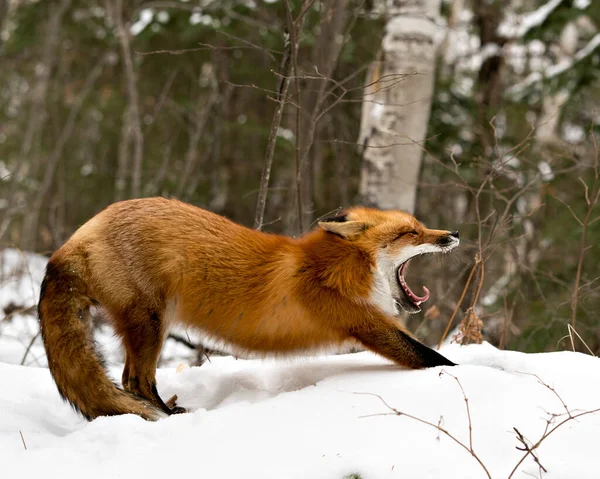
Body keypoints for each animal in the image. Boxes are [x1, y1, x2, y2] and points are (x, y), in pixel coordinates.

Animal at [37, 197, 460, 422]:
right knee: (135, 381)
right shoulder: (365, 323)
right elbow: (433, 358)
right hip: (151, 323)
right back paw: (171, 417)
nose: (454, 234)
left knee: (131, 381)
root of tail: (76, 237)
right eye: (411, 233)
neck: (334, 268)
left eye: (420, 225)